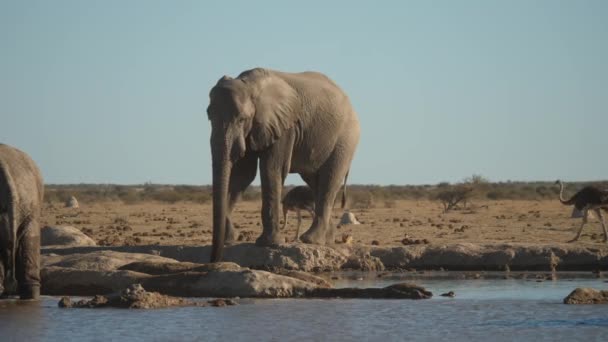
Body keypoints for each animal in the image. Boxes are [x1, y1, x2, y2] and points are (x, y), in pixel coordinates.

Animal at [209, 67, 360, 262]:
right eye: (208, 116)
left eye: (242, 119)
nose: (214, 259)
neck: (250, 85)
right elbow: (243, 174)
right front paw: (229, 240)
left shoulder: (285, 125)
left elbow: (272, 169)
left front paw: (269, 244)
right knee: (316, 183)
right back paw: (326, 240)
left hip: (345, 140)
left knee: (329, 181)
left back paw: (311, 240)